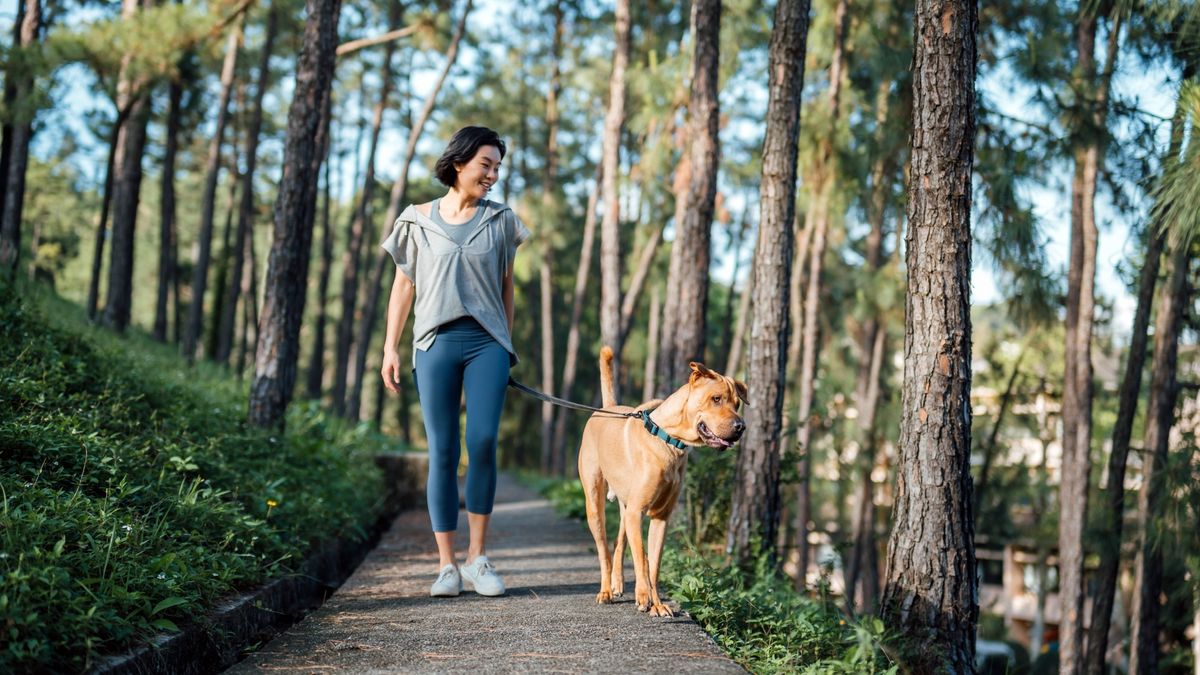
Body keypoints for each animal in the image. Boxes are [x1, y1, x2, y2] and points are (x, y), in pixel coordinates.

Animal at [576, 345, 744, 614]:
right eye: (716, 399)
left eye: (737, 403)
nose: (741, 426)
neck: (670, 441)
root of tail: (607, 407)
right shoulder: (637, 513)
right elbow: (642, 560)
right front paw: (643, 596)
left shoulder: (660, 517)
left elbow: (654, 565)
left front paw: (657, 604)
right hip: (594, 503)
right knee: (603, 550)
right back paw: (605, 590)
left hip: (625, 507)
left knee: (619, 542)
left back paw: (617, 584)